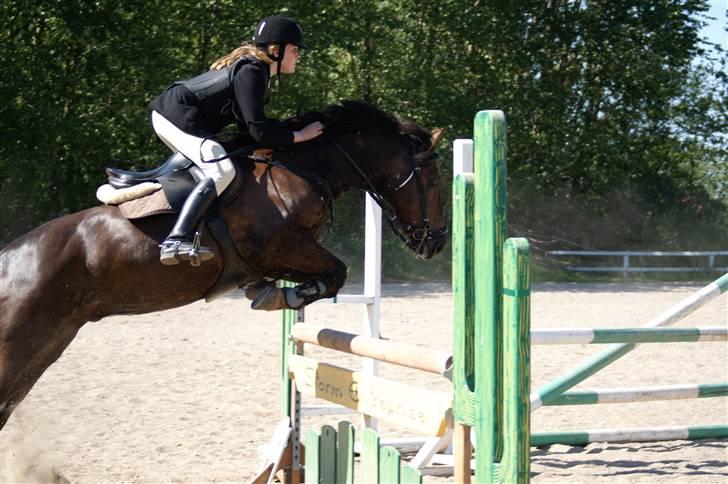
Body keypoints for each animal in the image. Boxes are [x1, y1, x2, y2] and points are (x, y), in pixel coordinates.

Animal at [0, 100, 450, 430]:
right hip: (19, 342)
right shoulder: (276, 245)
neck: (303, 169)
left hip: (48, 345)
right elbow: (337, 273)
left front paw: (268, 291)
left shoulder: (289, 253)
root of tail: (9, 259)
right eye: (432, 178)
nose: (436, 243)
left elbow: (326, 277)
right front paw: (280, 297)